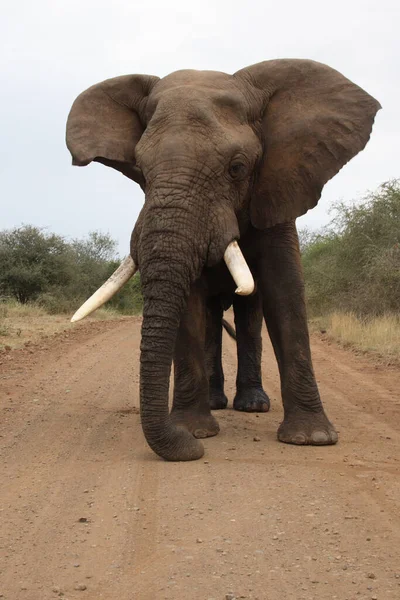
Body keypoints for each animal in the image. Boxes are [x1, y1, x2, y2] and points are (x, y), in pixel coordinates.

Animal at [65, 57, 378, 460]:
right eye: (141, 171)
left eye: (238, 168)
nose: (190, 450)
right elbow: (191, 307)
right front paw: (192, 432)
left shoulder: (277, 190)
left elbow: (284, 293)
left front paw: (312, 439)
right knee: (213, 322)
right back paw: (216, 402)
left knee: (248, 317)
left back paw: (253, 405)